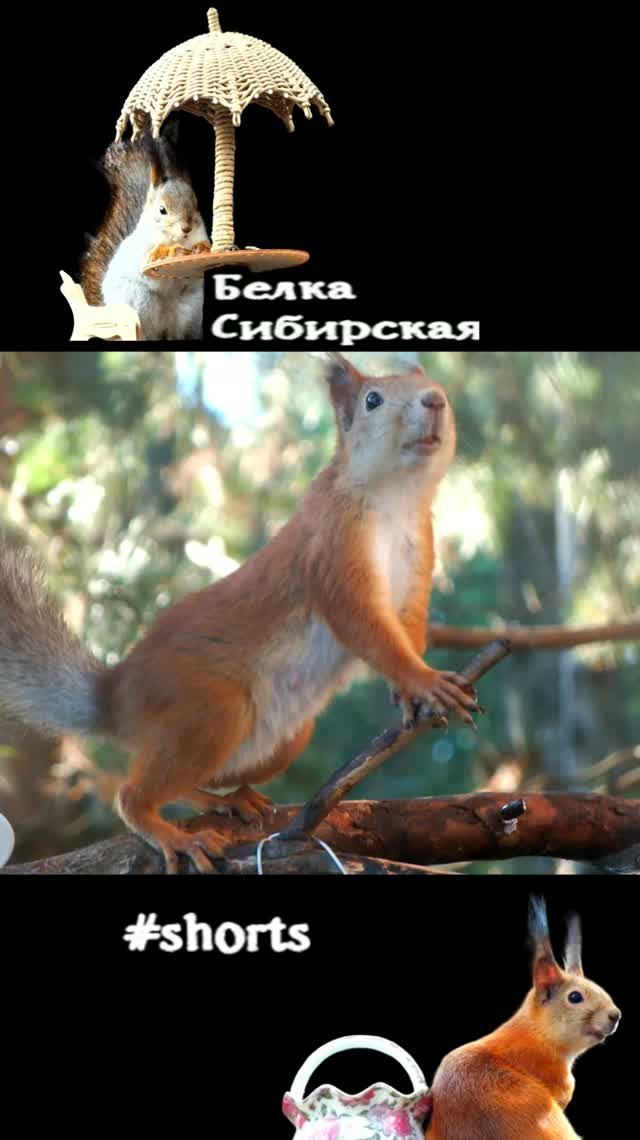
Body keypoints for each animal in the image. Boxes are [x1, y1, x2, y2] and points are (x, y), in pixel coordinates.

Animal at [0, 354, 478, 873]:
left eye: (434, 386)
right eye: (373, 399)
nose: (435, 401)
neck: (395, 497)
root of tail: (115, 697)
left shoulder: (416, 561)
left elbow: (406, 629)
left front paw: (413, 689)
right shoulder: (332, 547)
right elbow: (363, 624)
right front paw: (424, 681)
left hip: (284, 739)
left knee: (189, 775)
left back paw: (228, 800)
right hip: (211, 710)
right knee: (130, 792)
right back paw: (172, 834)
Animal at [81, 128, 210, 341]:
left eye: (197, 206)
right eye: (162, 210)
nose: (186, 228)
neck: (177, 239)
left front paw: (200, 249)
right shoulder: (141, 252)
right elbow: (150, 260)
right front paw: (172, 252)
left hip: (189, 310)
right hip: (139, 304)